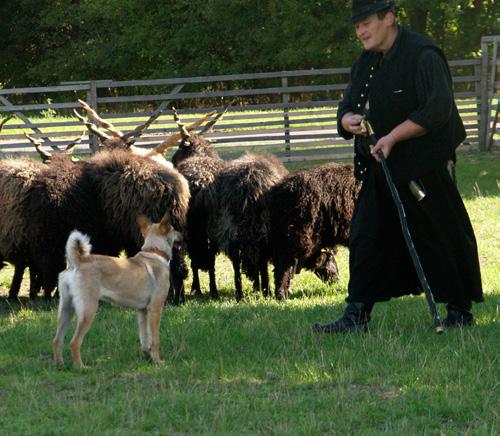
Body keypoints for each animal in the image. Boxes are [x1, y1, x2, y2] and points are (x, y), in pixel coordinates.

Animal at [52, 211, 181, 368]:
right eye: (173, 229)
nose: (183, 235)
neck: (155, 252)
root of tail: (78, 261)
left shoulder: (142, 311)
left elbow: (144, 337)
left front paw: (146, 356)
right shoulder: (155, 309)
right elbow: (155, 339)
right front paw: (157, 361)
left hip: (66, 309)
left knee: (57, 340)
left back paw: (59, 364)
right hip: (88, 311)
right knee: (74, 342)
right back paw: (81, 367)